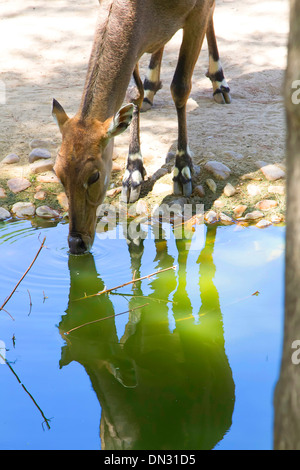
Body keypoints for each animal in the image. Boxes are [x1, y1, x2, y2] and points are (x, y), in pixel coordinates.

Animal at [52, 0, 230, 253]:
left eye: (95, 175)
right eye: (58, 173)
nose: (76, 242)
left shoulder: (197, 12)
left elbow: (180, 87)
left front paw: (182, 171)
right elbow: (133, 93)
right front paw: (132, 174)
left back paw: (220, 83)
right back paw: (151, 85)